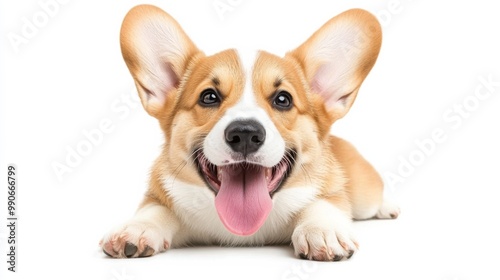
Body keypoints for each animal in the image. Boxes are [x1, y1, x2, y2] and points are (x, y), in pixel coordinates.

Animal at [100, 4, 398, 262]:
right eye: (209, 97)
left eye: (283, 99)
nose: (244, 134)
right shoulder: (160, 195)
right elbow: (154, 208)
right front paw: (137, 228)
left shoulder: (329, 192)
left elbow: (321, 203)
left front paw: (322, 231)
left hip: (365, 196)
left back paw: (388, 207)